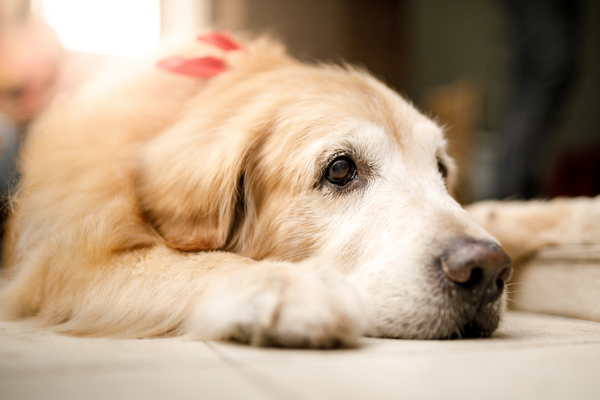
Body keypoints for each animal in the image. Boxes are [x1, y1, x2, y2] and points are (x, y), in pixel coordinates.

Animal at [1, 32, 516, 346]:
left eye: (441, 170)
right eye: (340, 170)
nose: (487, 269)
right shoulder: (62, 267)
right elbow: (195, 264)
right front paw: (289, 285)